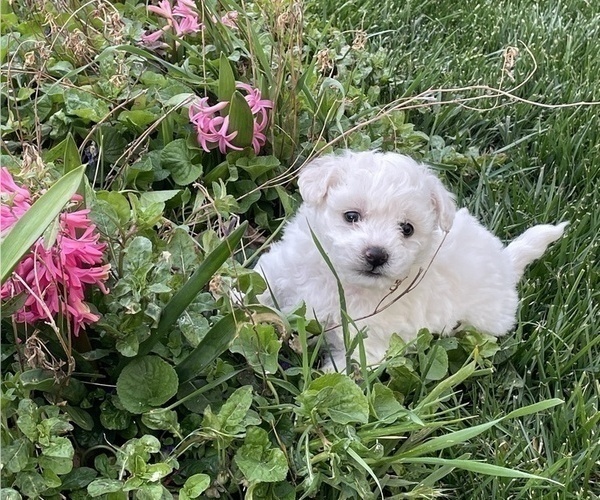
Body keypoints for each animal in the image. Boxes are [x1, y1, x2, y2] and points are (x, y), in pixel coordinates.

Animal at [254, 150, 568, 370]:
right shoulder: (284, 267)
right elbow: (261, 284)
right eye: (351, 216)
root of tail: (505, 262)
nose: (377, 254)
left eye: (407, 229)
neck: (341, 279)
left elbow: (347, 371)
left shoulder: (367, 337)